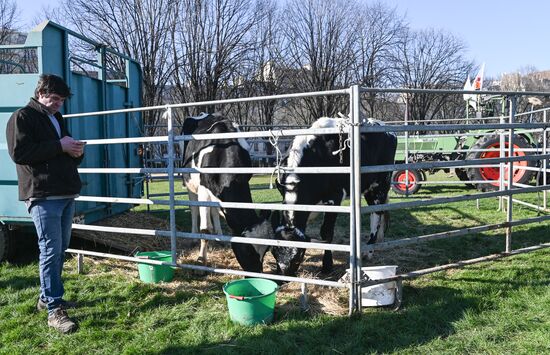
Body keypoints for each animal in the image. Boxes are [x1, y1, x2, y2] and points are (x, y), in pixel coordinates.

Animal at [182, 114, 274, 272]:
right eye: (249, 251)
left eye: (266, 250)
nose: (257, 273)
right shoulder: (202, 189)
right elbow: (204, 230)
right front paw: (200, 261)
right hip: (189, 183)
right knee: (194, 209)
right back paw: (194, 237)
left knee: (213, 211)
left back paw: (219, 236)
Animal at [274, 117, 396, 276]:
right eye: (274, 253)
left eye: (297, 257)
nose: (284, 276)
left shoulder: (334, 198)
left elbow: (326, 232)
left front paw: (327, 266)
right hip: (368, 188)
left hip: (380, 185)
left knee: (376, 214)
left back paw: (368, 251)